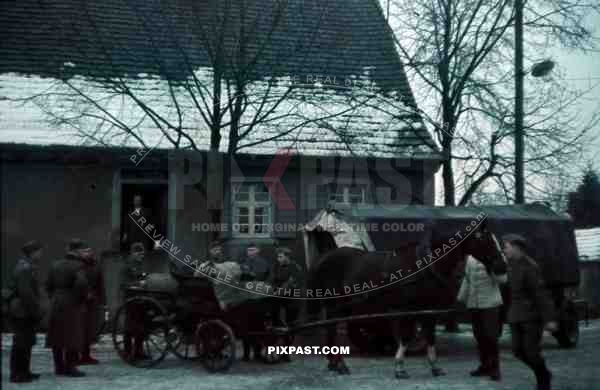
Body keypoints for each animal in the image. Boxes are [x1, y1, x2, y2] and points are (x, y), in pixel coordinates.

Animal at [304, 218, 506, 376]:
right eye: (486, 240)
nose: (502, 266)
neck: (425, 265)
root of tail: (325, 257)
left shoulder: (428, 308)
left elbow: (430, 336)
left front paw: (435, 367)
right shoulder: (408, 309)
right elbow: (407, 336)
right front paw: (400, 367)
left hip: (341, 305)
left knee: (330, 329)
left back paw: (334, 364)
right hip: (338, 304)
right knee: (331, 329)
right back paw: (339, 364)